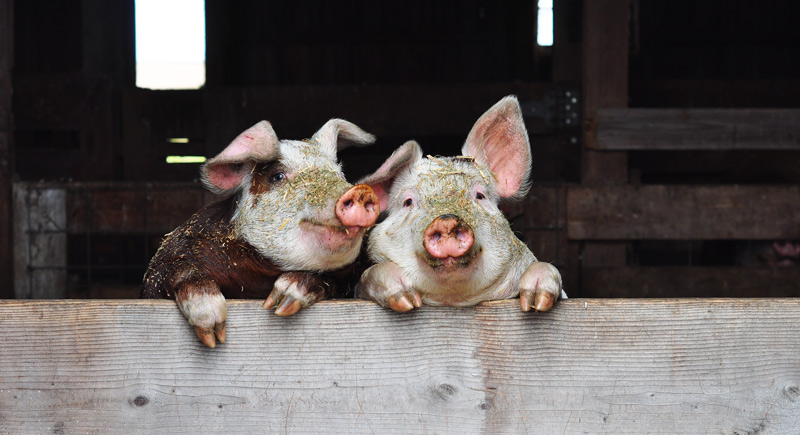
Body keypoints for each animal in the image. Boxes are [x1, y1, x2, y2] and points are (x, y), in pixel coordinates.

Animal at [142, 119, 379, 347]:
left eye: (339, 174)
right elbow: (175, 271)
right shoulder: (168, 258)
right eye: (277, 176)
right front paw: (213, 334)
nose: (360, 191)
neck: (259, 277)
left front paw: (281, 301)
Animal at [356, 95, 566, 312]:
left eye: (480, 195)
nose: (446, 221)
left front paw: (537, 302)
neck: (453, 299)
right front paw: (406, 301)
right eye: (407, 202)